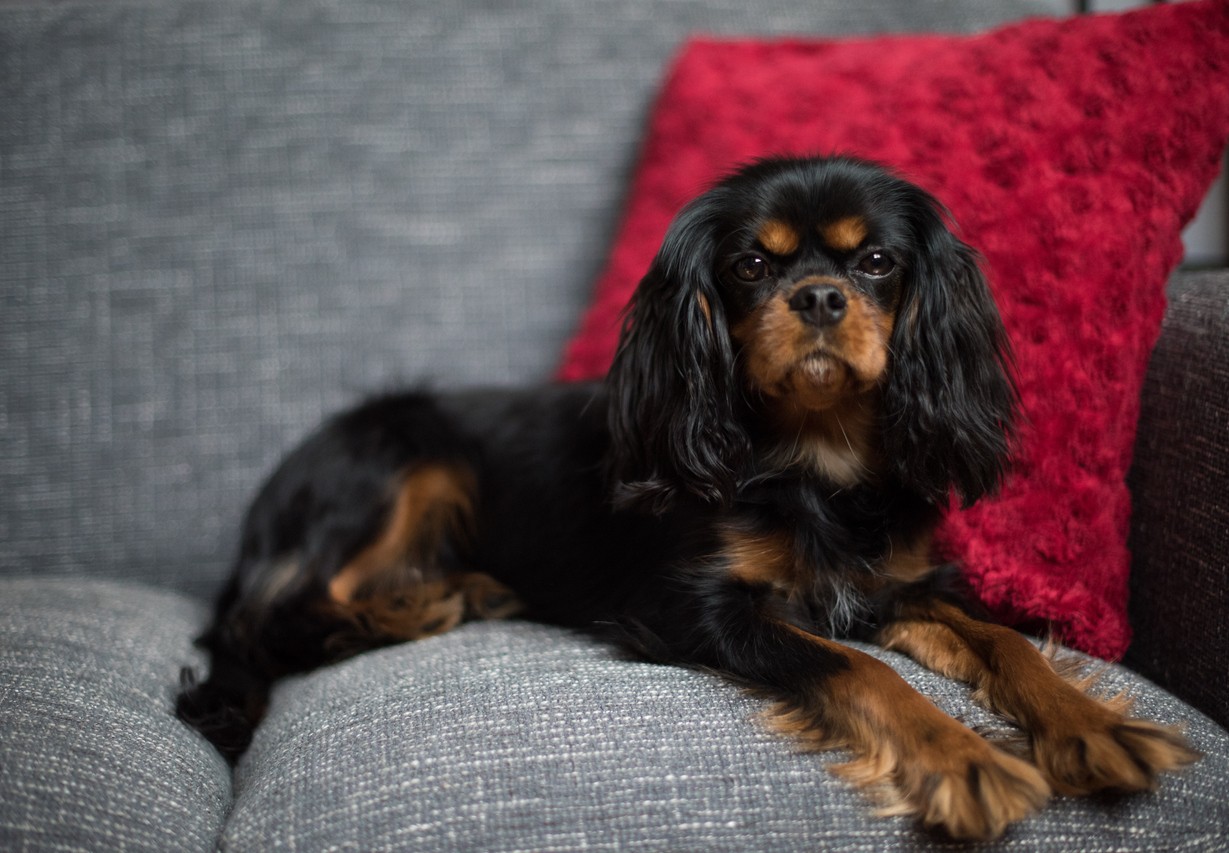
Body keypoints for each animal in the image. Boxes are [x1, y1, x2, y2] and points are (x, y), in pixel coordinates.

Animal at [178, 155, 1194, 840]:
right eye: (750, 266)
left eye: (875, 263)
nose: (818, 297)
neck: (816, 460)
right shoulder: (695, 607)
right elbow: (855, 669)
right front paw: (967, 760)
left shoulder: (900, 586)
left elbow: (1007, 644)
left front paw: (1094, 727)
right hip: (405, 455)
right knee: (264, 621)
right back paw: (417, 604)